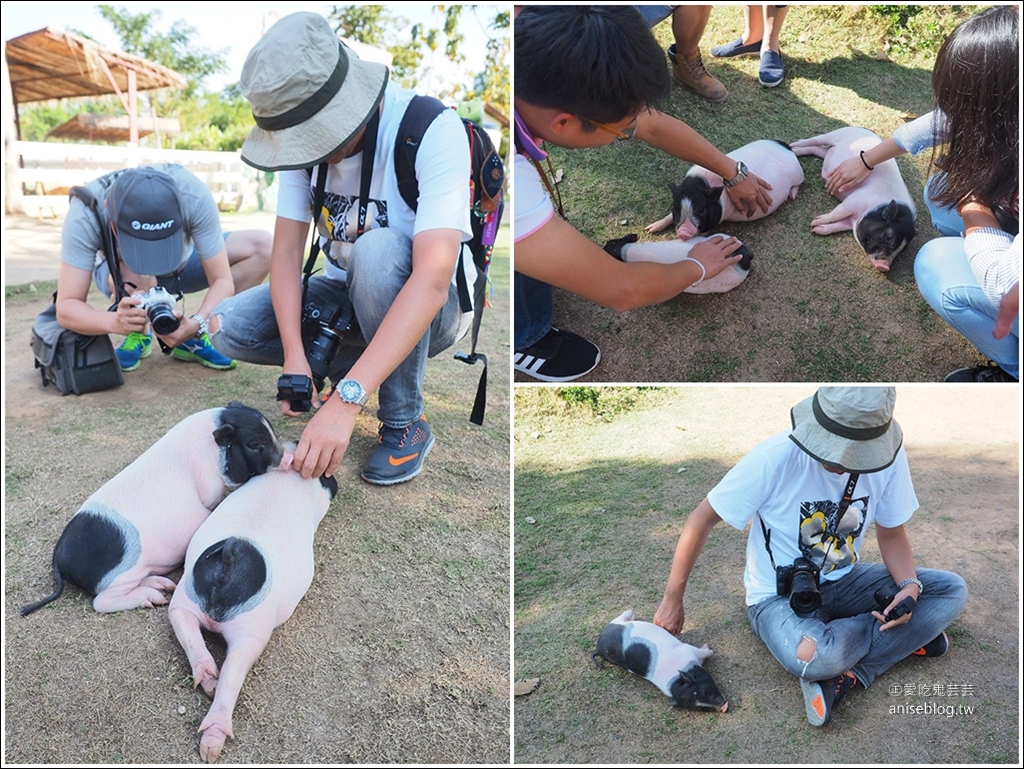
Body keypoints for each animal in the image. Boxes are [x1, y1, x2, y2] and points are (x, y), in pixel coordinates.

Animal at [20, 405, 292, 618]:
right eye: (255, 443)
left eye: (271, 433)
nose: (288, 457)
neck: (212, 449)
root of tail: (59, 557)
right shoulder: (210, 488)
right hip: (121, 574)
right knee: (101, 601)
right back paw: (154, 599)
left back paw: (164, 586)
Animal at [167, 462, 339, 765]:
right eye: (329, 477)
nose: (336, 481)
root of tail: (231, 557)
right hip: (254, 625)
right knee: (236, 666)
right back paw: (210, 751)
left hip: (185, 596)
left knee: (185, 626)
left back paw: (209, 684)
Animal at [593, 610, 729, 712]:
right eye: (700, 708)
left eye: (706, 691)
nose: (723, 707)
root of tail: (598, 648)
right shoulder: (687, 650)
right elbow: (705, 653)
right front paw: (709, 649)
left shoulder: (687, 651)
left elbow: (704, 654)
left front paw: (708, 648)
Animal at [643, 140, 802, 239]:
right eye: (676, 209)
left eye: (701, 209)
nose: (683, 232)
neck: (699, 185)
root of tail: (787, 148)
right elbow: (668, 217)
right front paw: (649, 229)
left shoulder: (712, 222)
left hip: (798, 175)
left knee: (799, 183)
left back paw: (791, 196)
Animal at [786, 124, 917, 272]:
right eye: (889, 237)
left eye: (901, 250)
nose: (885, 266)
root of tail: (865, 129)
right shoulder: (854, 200)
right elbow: (836, 213)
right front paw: (815, 221)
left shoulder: (851, 221)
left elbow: (838, 226)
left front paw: (816, 230)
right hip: (836, 134)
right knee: (816, 140)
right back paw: (793, 145)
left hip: (826, 152)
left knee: (818, 149)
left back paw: (794, 150)